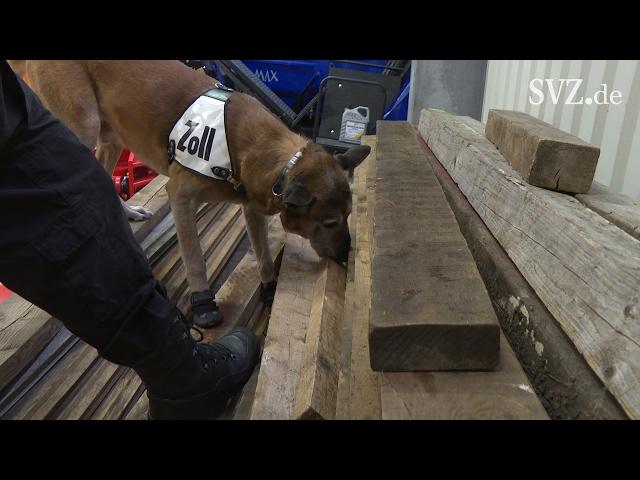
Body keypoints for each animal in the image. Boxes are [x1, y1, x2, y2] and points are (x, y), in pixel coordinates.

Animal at [17, 60, 368, 326]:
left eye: (348, 216)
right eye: (329, 222)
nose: (344, 257)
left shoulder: (252, 208)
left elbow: (264, 254)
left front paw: (269, 286)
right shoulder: (181, 197)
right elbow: (196, 259)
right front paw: (202, 303)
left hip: (111, 136)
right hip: (82, 126)